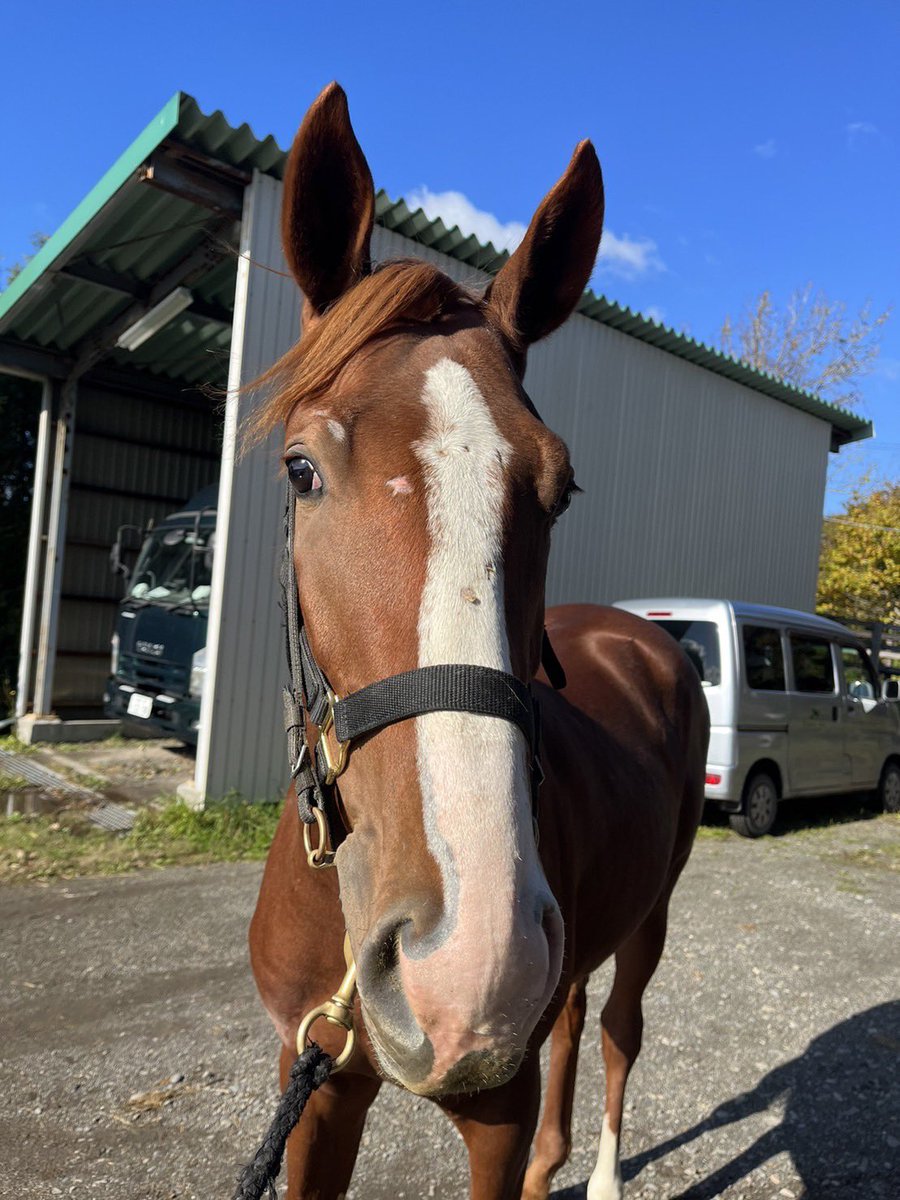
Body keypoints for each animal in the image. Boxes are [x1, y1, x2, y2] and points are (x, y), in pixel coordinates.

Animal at [247, 82, 709, 1200]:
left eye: (561, 488)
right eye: (300, 470)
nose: (469, 964)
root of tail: (641, 636)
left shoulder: (490, 1111)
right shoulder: (312, 1082)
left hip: (654, 911)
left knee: (619, 1029)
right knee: (574, 1013)